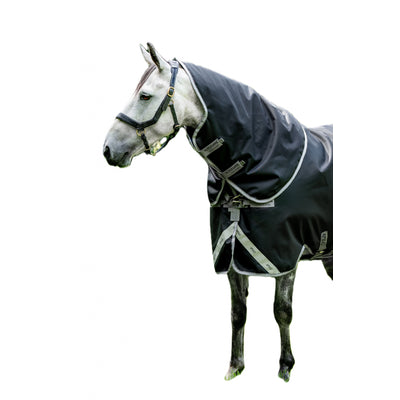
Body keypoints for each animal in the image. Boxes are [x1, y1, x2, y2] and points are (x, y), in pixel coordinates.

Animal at [103, 43, 333, 382]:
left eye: (144, 95)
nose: (108, 149)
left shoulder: (284, 257)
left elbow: (282, 311)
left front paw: (285, 366)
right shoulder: (233, 252)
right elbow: (238, 313)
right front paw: (235, 366)